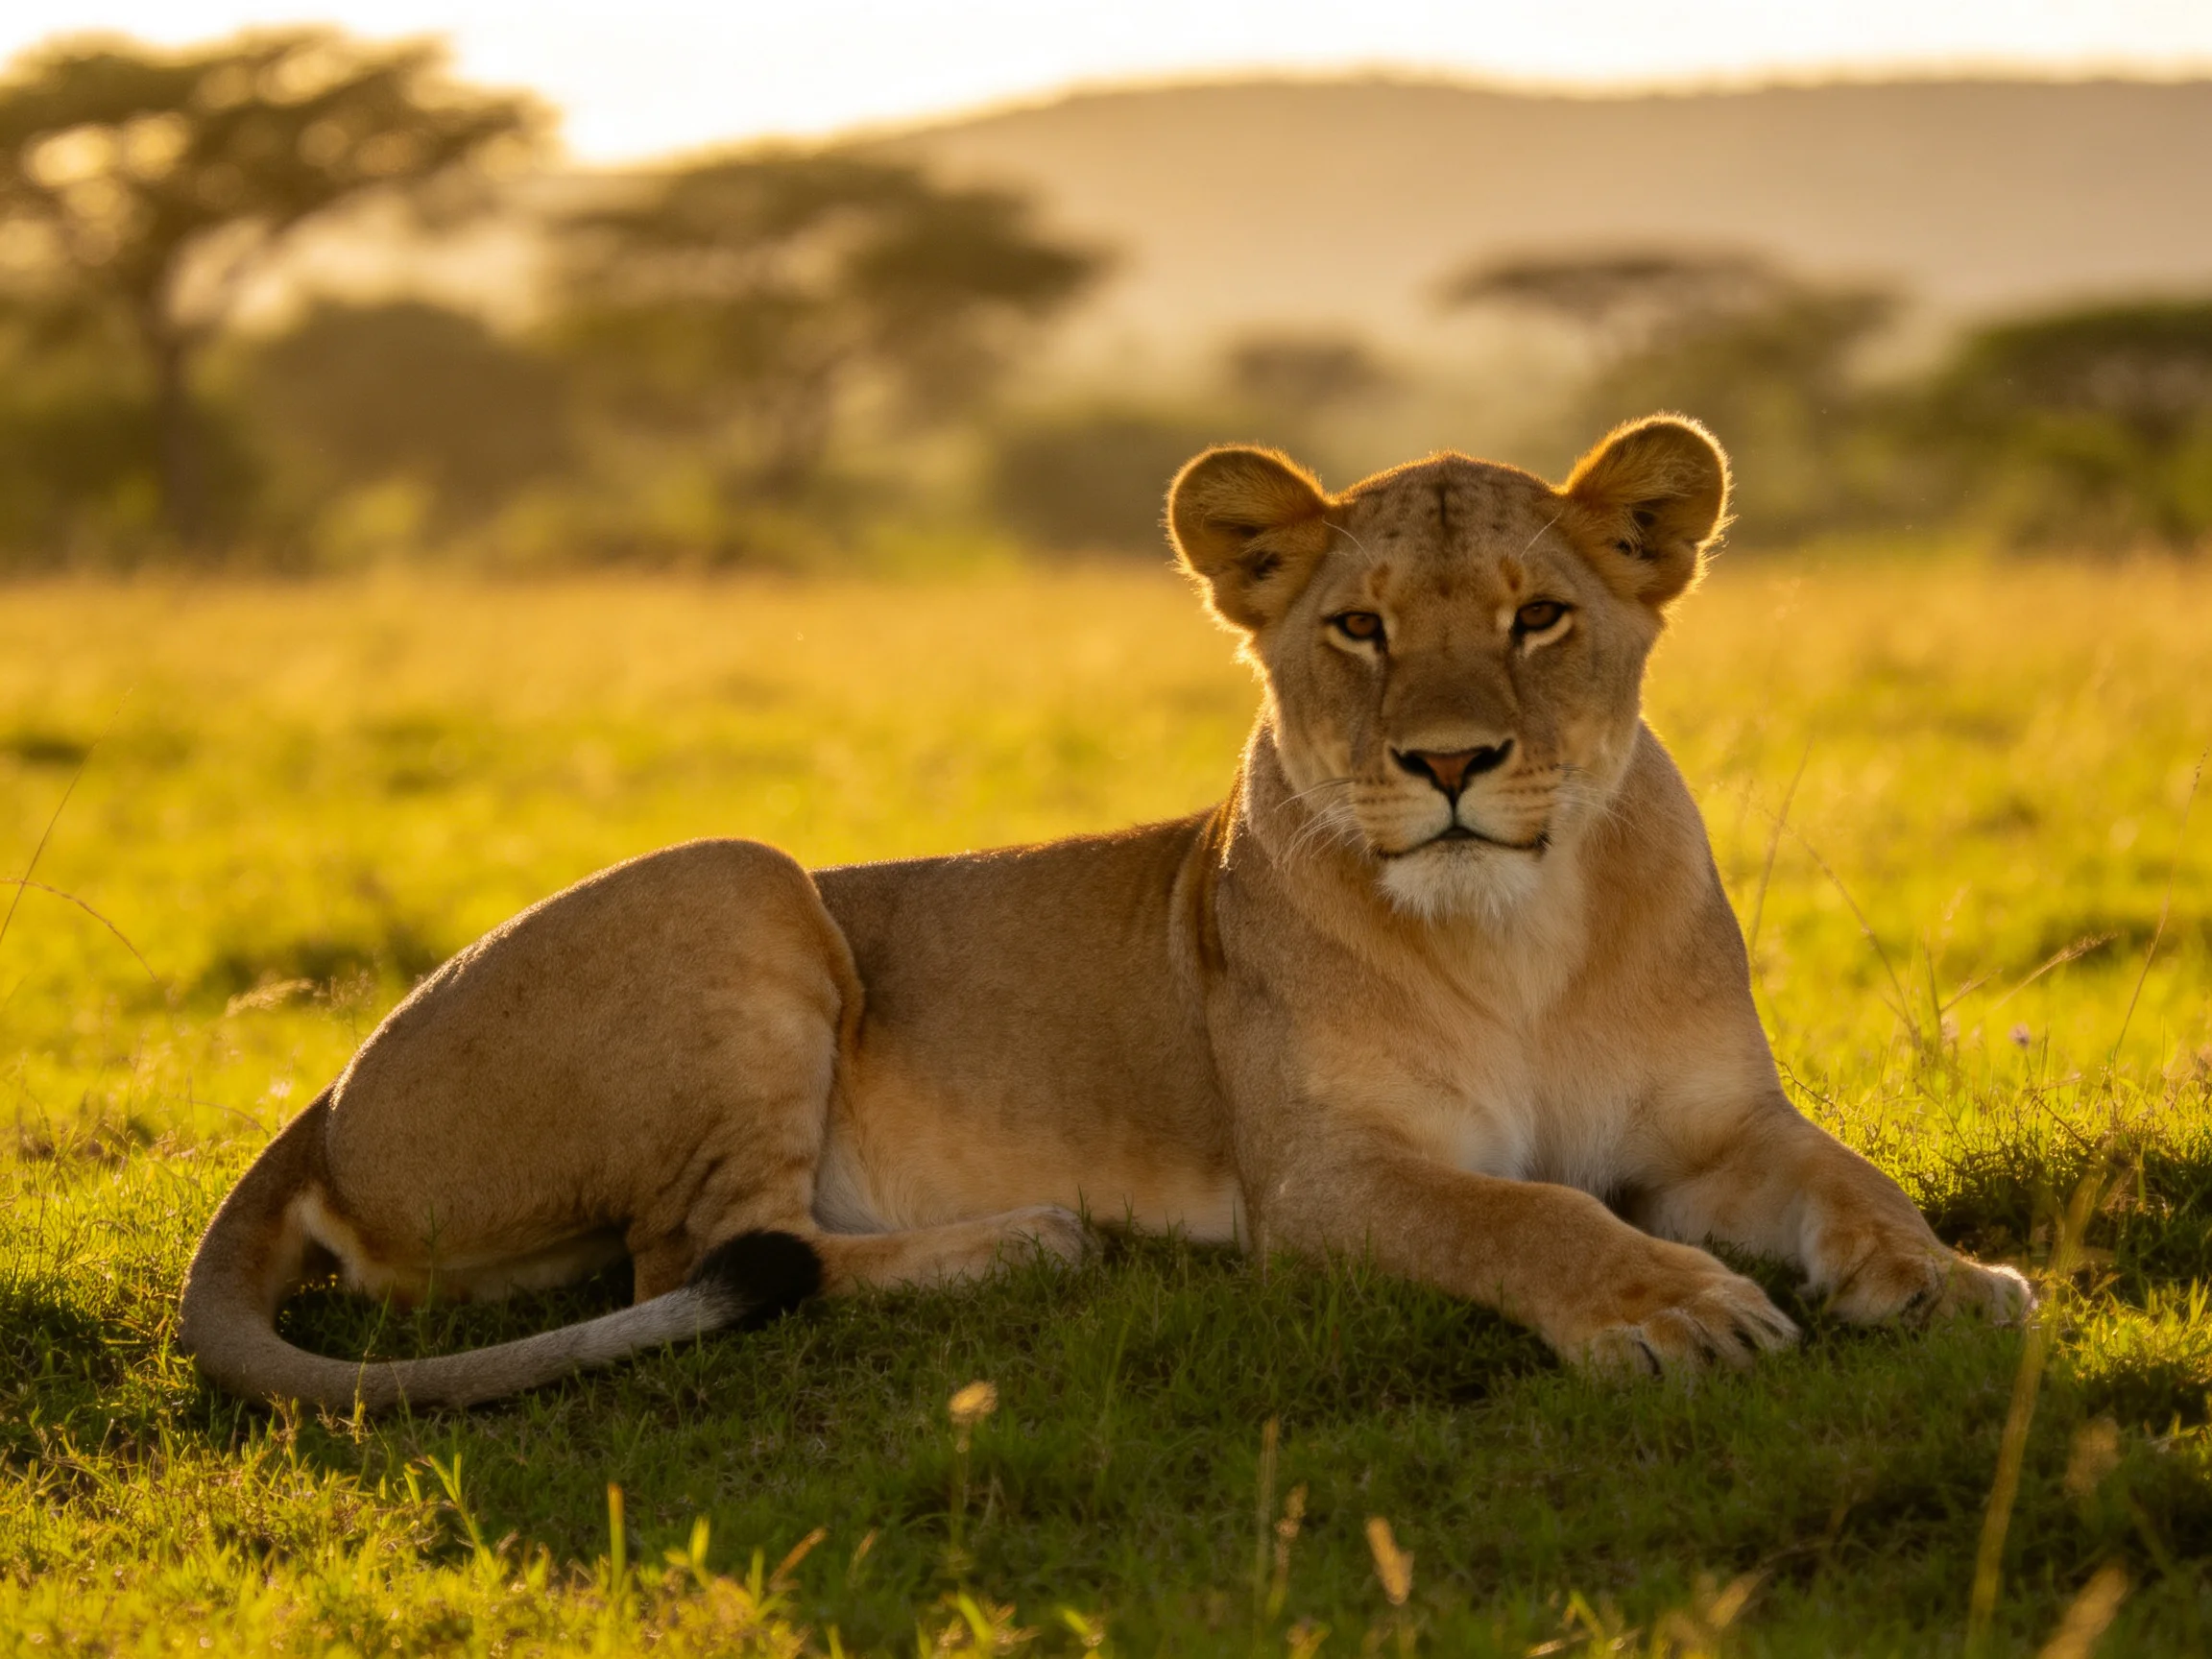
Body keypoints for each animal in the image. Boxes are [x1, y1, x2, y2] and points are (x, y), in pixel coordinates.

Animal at [179, 415, 2029, 1409]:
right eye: (1358, 627)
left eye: (1537, 617)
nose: (1447, 762)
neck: (1521, 930)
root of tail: (317, 1100)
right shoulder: (1321, 1179)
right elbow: (1528, 1216)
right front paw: (1672, 1309)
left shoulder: (1716, 1126)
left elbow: (1849, 1181)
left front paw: (1951, 1281)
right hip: (740, 881)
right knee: (706, 1253)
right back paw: (1031, 1239)